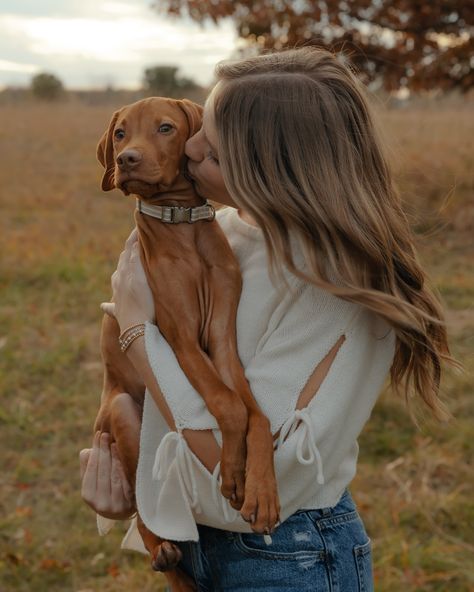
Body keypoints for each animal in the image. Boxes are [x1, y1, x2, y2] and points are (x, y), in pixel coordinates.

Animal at [91, 98, 278, 592]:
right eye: (120, 133)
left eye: (165, 128)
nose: (126, 160)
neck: (183, 227)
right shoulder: (180, 337)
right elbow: (229, 406)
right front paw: (233, 473)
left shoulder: (221, 339)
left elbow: (256, 415)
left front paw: (260, 489)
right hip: (121, 411)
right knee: (142, 508)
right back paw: (162, 550)